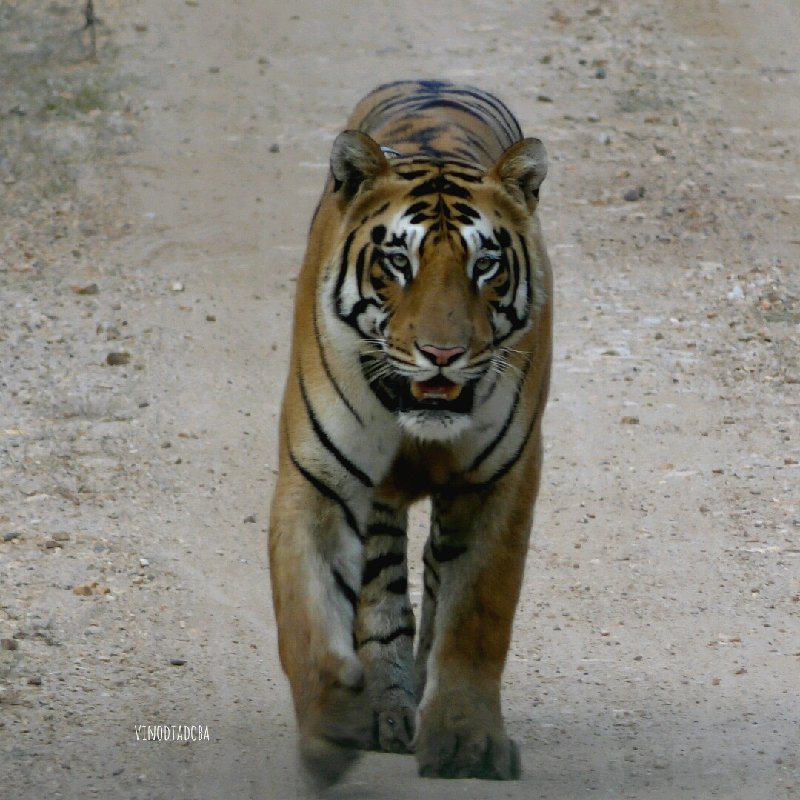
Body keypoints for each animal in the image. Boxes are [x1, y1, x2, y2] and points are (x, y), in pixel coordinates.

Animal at [268, 81, 552, 788]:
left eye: (486, 266)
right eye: (398, 261)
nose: (442, 354)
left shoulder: (498, 481)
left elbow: (476, 616)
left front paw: (468, 743)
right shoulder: (319, 477)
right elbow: (307, 615)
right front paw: (328, 729)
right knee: (382, 589)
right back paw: (382, 709)